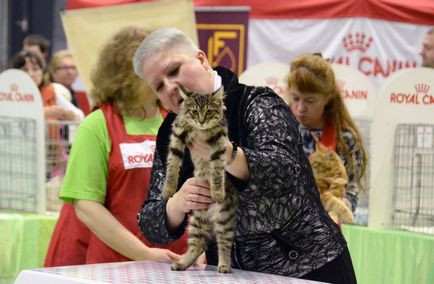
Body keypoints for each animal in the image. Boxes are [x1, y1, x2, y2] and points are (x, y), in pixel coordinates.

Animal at [162, 85, 237, 272]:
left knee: (224, 244)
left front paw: (217, 192)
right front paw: (168, 188)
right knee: (198, 245)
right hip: (197, 221)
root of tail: (210, 216)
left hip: (224, 220)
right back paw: (182, 263)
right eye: (194, 112)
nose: (202, 121)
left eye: (209, 112)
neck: (199, 130)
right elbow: (172, 165)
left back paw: (224, 265)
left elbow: (217, 170)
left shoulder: (219, 142)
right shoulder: (177, 135)